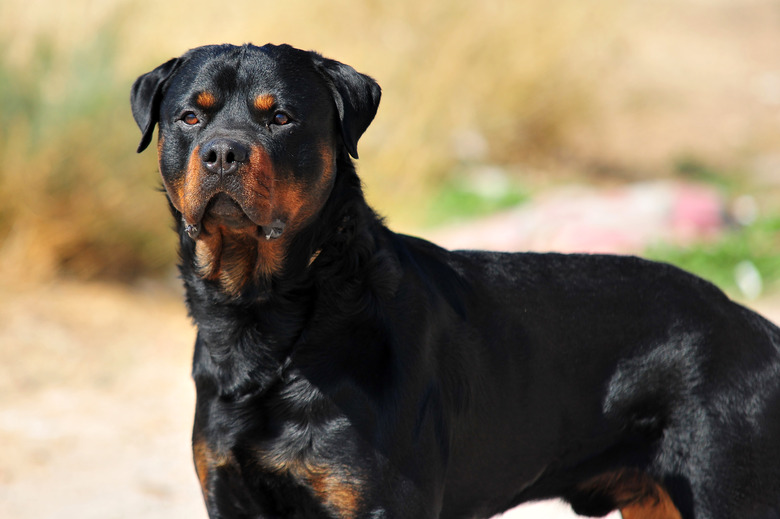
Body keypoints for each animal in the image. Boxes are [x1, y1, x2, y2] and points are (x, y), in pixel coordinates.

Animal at [131, 42, 780, 516]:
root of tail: (759, 330)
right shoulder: (229, 492)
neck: (267, 317)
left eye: (281, 118)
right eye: (190, 115)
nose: (222, 152)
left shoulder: (380, 502)